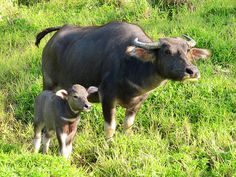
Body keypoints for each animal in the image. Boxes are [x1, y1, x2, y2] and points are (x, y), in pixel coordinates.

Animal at [35, 21, 210, 140]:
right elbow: (110, 127)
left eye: (188, 50)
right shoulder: (107, 97)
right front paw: (109, 144)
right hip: (49, 82)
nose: (192, 71)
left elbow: (128, 124)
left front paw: (127, 138)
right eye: (167, 51)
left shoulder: (138, 101)